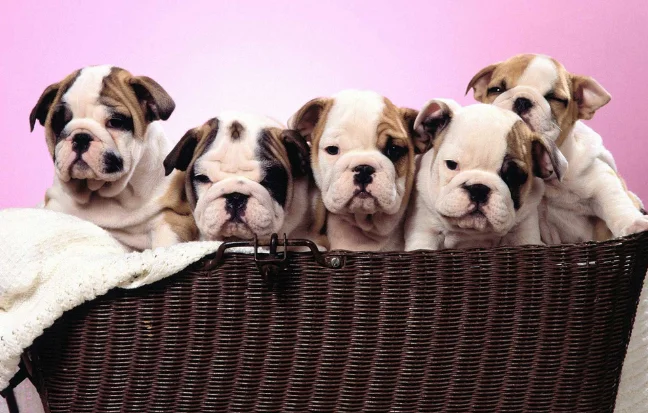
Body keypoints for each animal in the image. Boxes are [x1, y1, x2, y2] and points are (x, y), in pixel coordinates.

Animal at [466, 54, 648, 241]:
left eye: (555, 99)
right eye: (496, 89)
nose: (522, 100)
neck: (548, 180)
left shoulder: (601, 177)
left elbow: (615, 202)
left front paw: (634, 223)